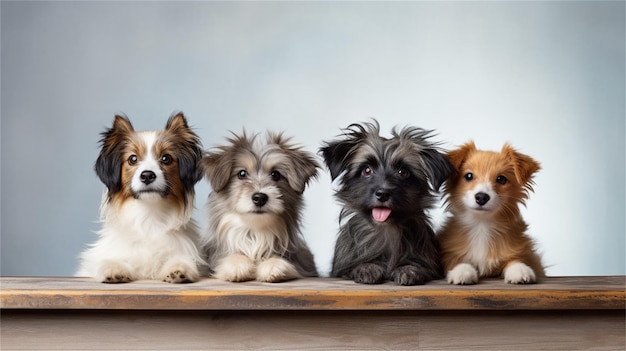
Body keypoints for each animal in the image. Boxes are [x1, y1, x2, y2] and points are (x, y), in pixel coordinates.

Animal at [75, 114, 202, 284]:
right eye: (133, 159)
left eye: (166, 158)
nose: (147, 175)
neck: (149, 216)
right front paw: (114, 269)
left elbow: (180, 260)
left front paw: (178, 269)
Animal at [200, 131, 316, 284]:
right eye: (242, 173)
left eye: (275, 174)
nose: (260, 198)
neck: (255, 232)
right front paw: (237, 264)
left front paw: (273, 265)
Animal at [320, 121, 450, 286]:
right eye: (366, 170)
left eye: (403, 172)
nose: (383, 194)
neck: (386, 230)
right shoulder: (342, 268)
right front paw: (367, 267)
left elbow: (419, 265)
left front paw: (409, 269)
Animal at [436, 142, 544, 284]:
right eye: (468, 176)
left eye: (501, 179)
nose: (481, 197)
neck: (481, 224)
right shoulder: (450, 250)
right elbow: (456, 260)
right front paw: (462, 271)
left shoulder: (522, 251)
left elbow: (516, 259)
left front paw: (520, 270)